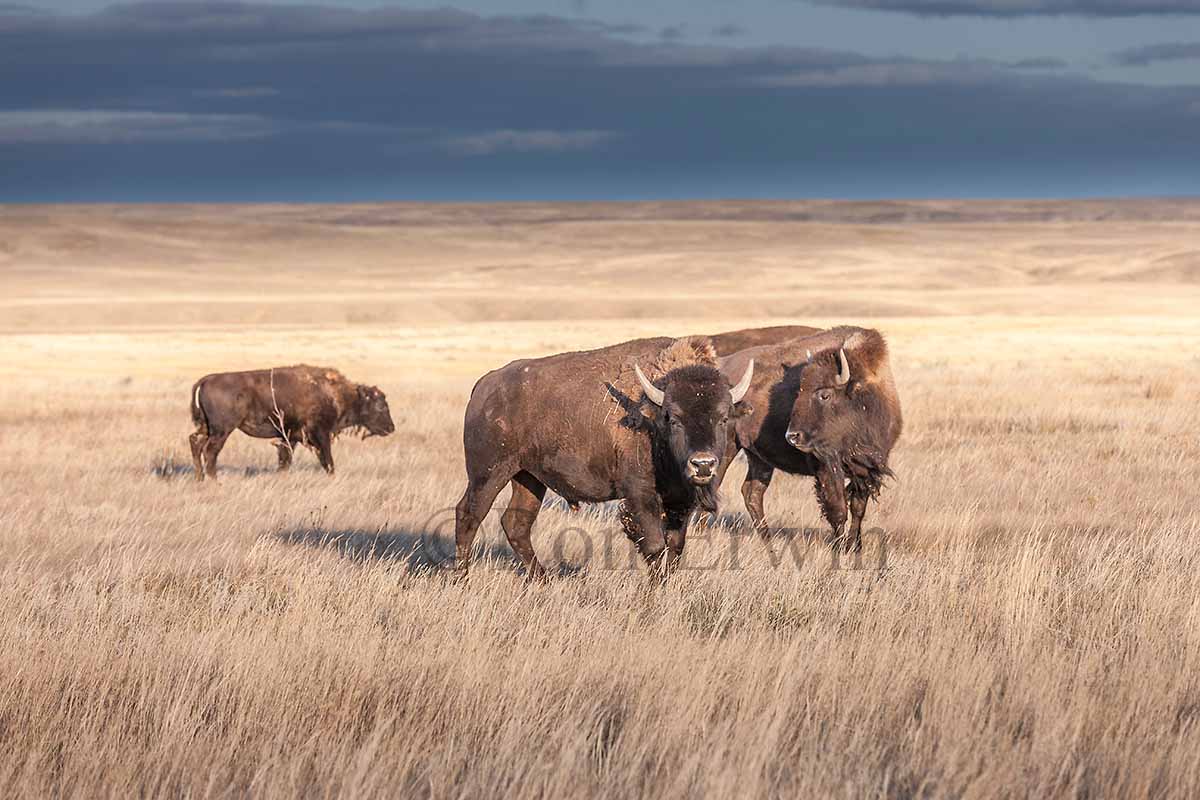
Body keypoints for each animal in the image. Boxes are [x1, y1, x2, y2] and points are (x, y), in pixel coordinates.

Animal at [187, 364, 393, 482]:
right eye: (380, 406)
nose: (391, 427)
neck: (336, 394)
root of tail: (205, 380)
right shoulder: (320, 434)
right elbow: (328, 460)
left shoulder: (290, 437)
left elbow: (285, 460)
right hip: (222, 430)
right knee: (210, 451)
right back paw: (214, 480)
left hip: (207, 428)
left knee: (195, 443)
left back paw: (200, 479)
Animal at [453, 338, 753, 582]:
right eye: (673, 418)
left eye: (723, 417)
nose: (703, 464)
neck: (651, 418)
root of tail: (485, 384)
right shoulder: (639, 495)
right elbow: (655, 547)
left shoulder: (680, 502)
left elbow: (675, 549)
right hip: (488, 474)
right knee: (469, 515)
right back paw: (462, 580)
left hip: (528, 478)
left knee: (516, 523)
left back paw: (543, 580)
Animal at [710, 326, 902, 551]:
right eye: (799, 391)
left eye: (825, 395)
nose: (792, 436)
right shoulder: (826, 467)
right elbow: (838, 510)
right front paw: (839, 549)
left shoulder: (865, 470)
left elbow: (857, 508)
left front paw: (854, 547)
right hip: (727, 448)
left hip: (758, 457)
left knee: (752, 493)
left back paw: (768, 541)